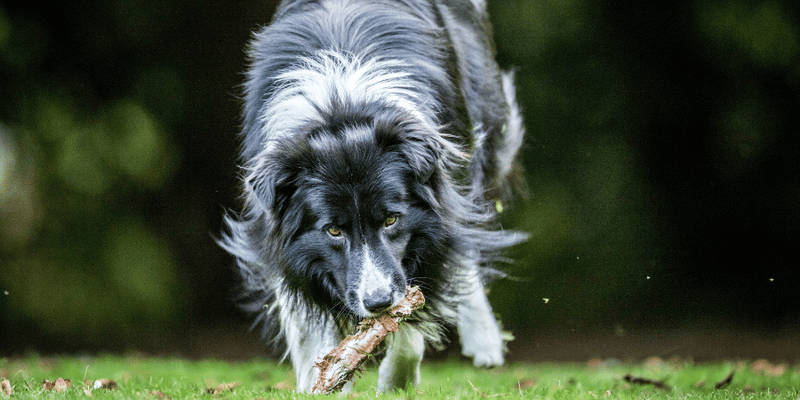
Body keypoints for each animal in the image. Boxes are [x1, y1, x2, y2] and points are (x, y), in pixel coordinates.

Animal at [222, 0, 528, 392]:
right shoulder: (275, 229)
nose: (377, 302)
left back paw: (484, 342)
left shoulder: (436, 211)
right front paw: (322, 382)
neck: (341, 105)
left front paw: (396, 380)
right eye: (333, 230)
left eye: (391, 219)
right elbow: (306, 321)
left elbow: (414, 306)